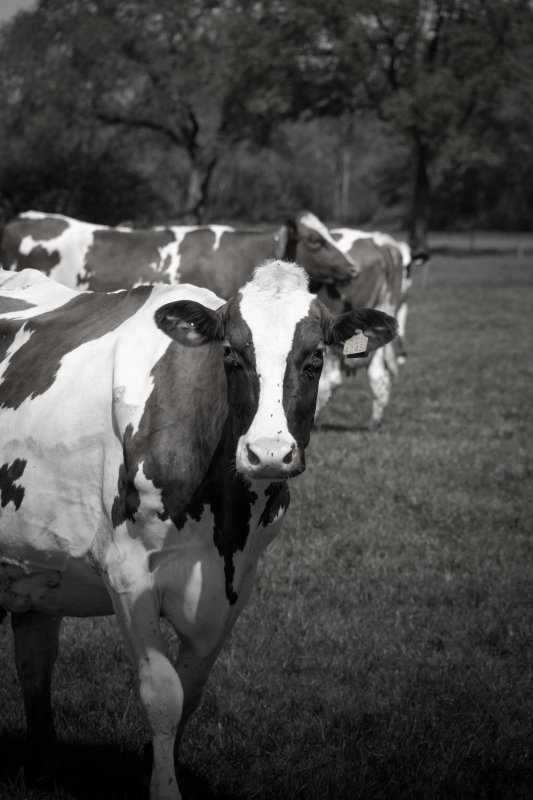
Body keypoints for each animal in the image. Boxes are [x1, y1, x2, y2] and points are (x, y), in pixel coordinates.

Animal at [0, 261, 396, 800]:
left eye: (315, 357)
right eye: (230, 353)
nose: (268, 453)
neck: (223, 524)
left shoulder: (238, 583)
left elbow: (191, 691)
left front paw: (149, 769)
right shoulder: (127, 572)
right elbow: (164, 694)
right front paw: (163, 787)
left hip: (37, 572)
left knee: (35, 660)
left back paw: (46, 769)